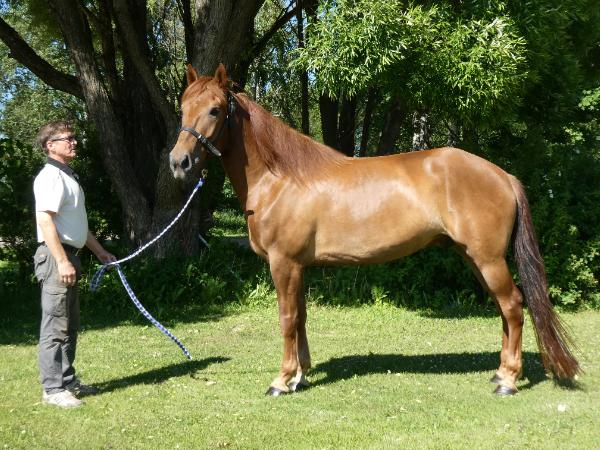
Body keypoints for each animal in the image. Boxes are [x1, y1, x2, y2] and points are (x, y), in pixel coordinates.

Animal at [169, 64, 580, 396]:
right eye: (183, 108)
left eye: (215, 109)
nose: (179, 162)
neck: (281, 178)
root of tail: (503, 176)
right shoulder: (299, 267)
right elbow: (300, 318)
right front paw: (301, 375)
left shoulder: (283, 264)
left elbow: (287, 319)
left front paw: (282, 380)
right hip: (474, 259)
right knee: (504, 308)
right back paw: (500, 373)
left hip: (489, 259)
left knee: (512, 306)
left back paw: (508, 380)